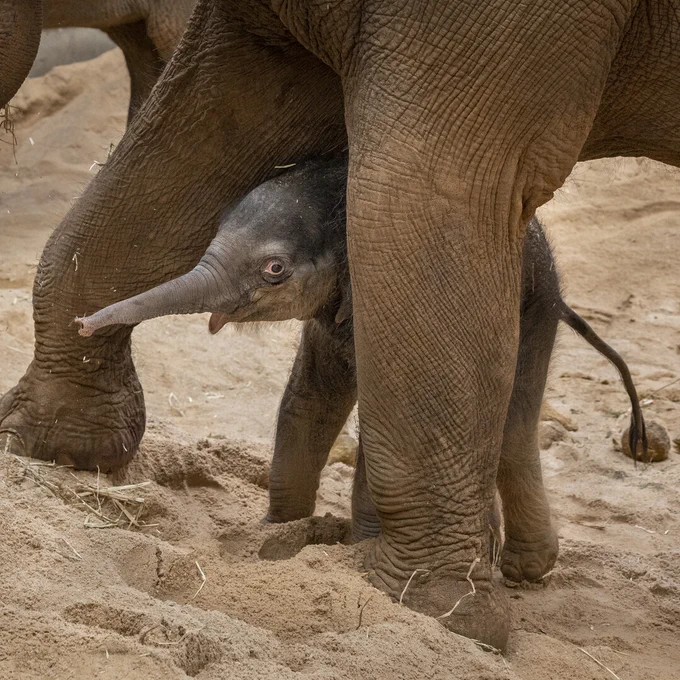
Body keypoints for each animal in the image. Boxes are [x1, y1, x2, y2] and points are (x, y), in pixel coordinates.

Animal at [76, 154, 646, 559]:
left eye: (274, 268)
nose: (82, 324)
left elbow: (387, 420)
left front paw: (361, 546)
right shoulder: (330, 322)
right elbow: (307, 402)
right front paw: (276, 535)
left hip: (536, 308)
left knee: (513, 424)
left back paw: (525, 567)